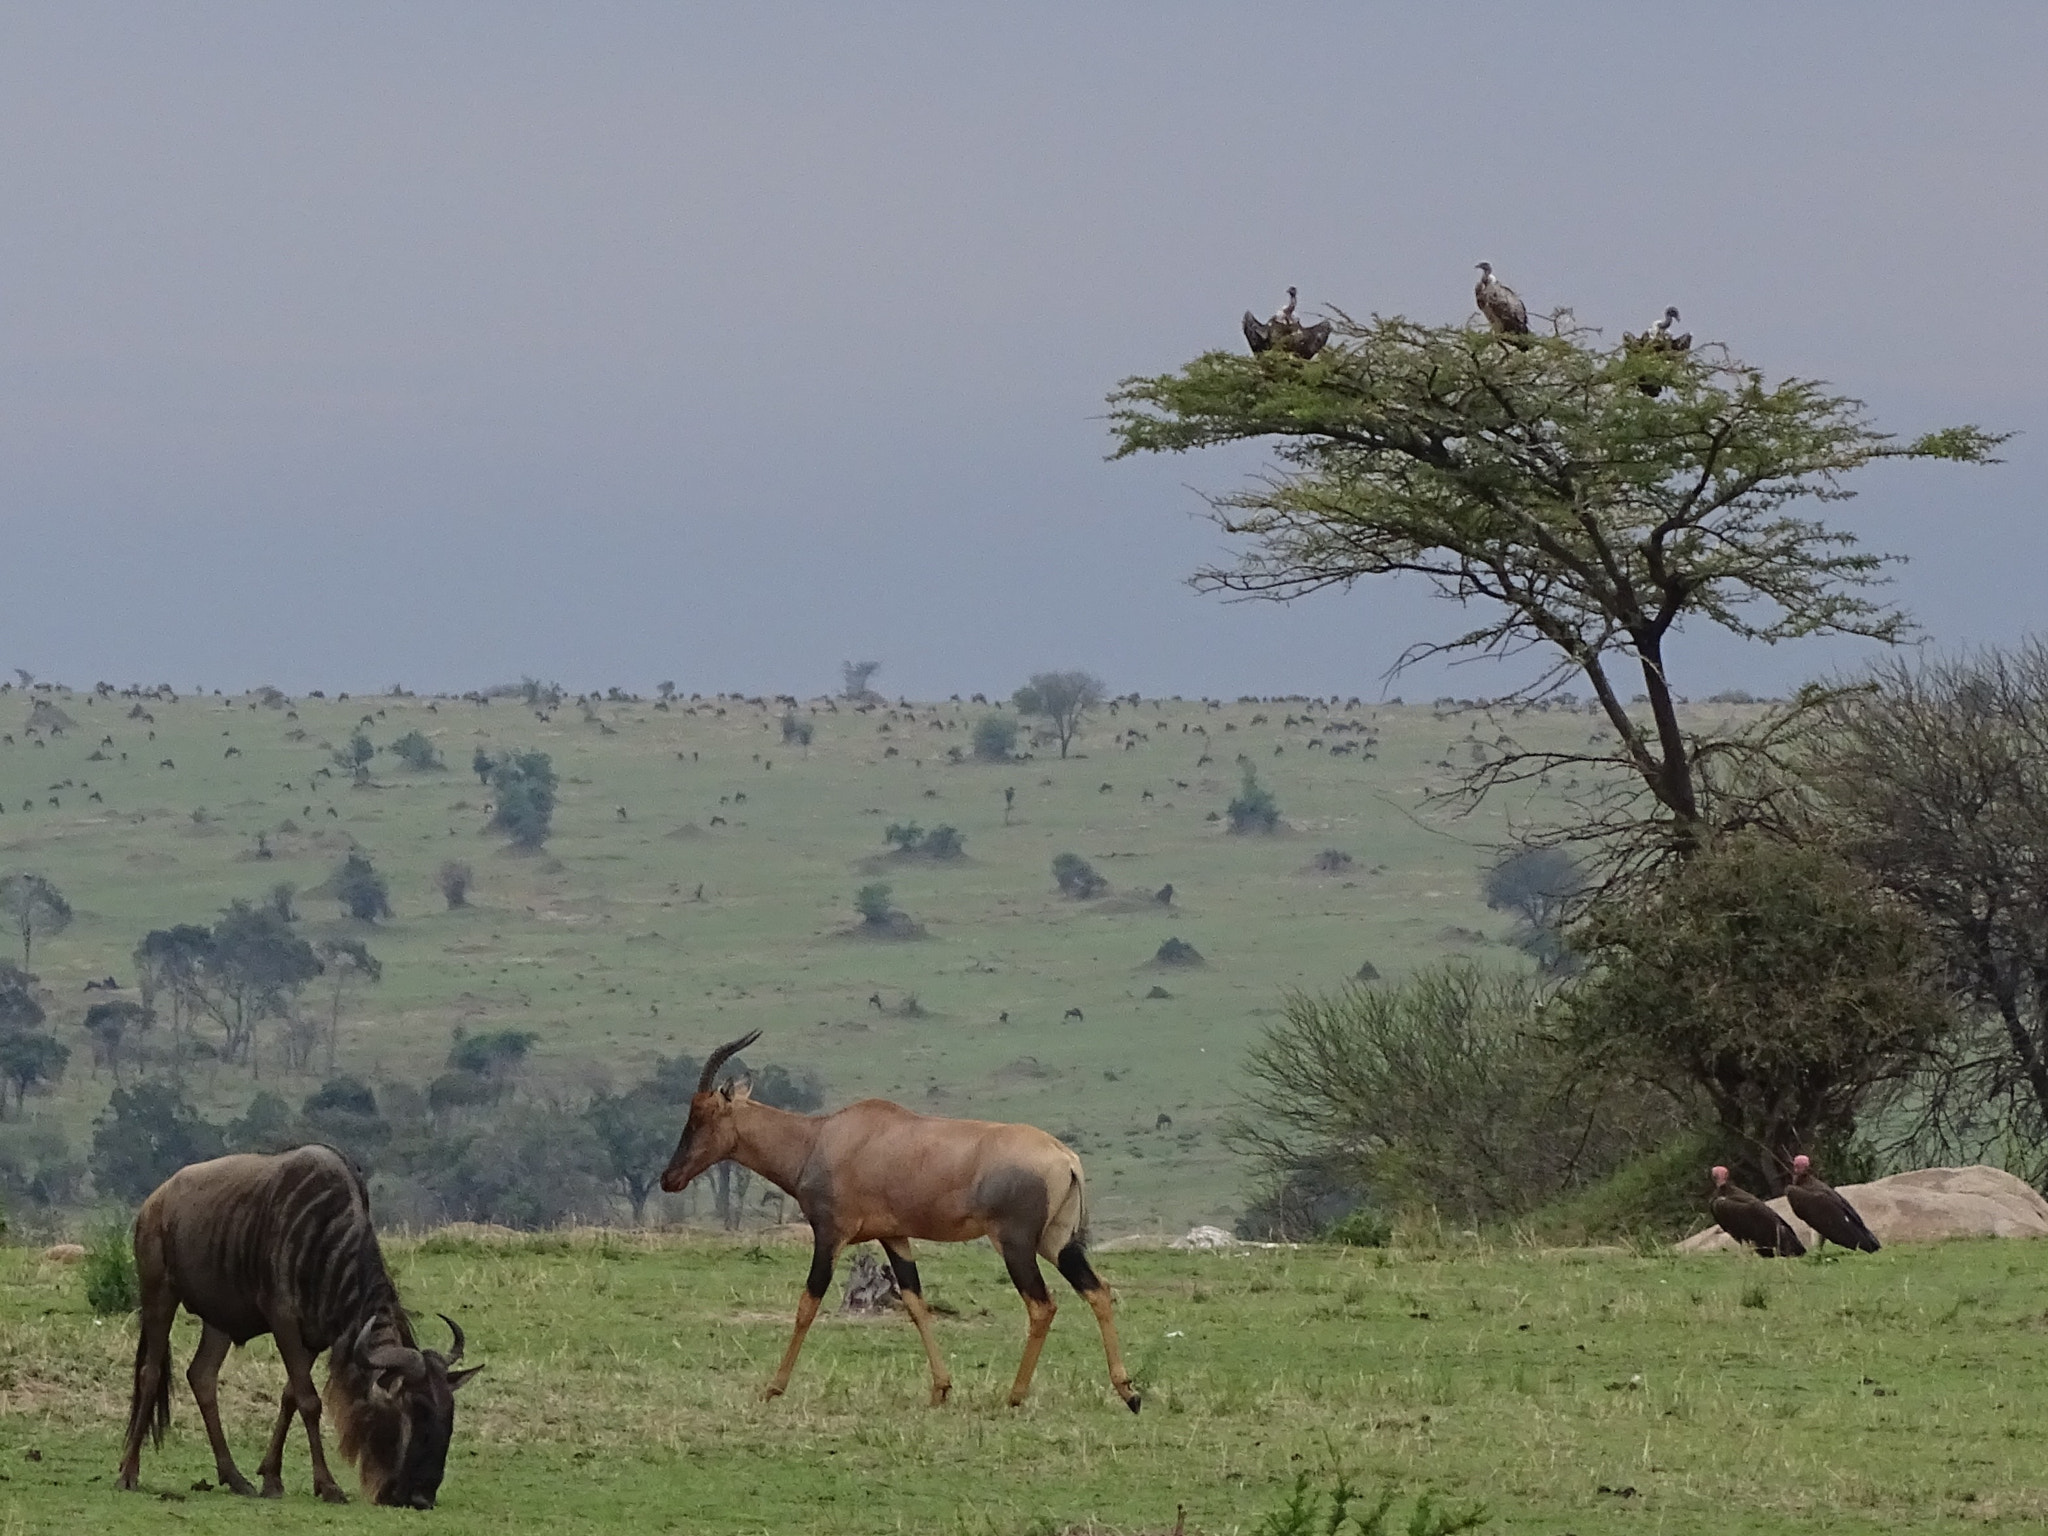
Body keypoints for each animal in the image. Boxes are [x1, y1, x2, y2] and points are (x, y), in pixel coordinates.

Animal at [655, 1036, 1138, 1417]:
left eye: (699, 1116)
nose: (668, 1179)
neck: (823, 1137)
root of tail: (1065, 1157)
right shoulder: (894, 1236)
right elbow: (915, 1303)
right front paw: (940, 1389)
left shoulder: (830, 1235)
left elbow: (808, 1304)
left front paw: (772, 1388)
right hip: (1056, 1241)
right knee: (1097, 1290)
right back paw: (1128, 1392)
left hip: (1016, 1243)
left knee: (1042, 1305)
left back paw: (1015, 1397)